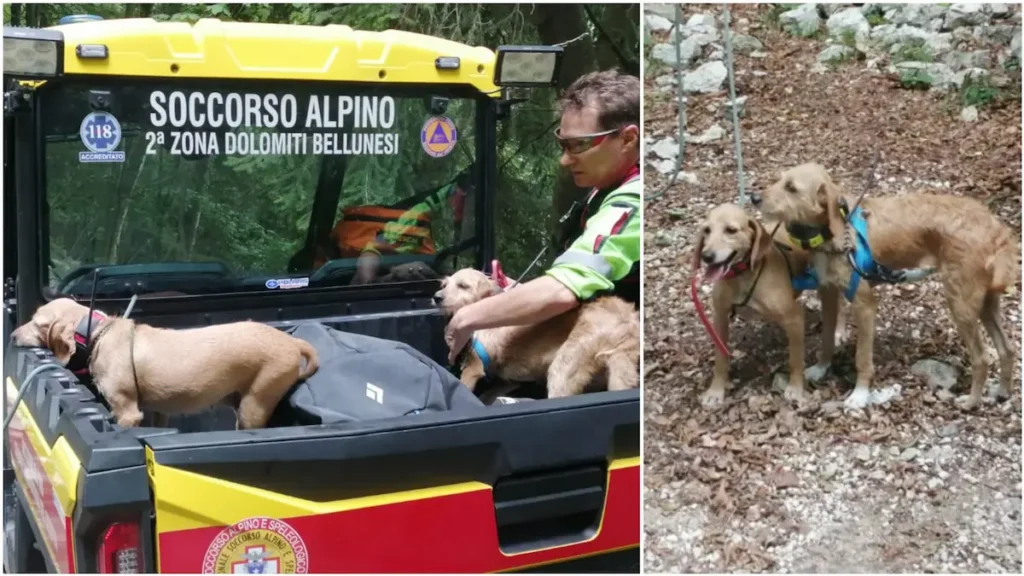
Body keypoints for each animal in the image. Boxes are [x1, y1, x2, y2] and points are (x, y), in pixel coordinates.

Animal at [11, 297, 315, 428]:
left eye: (36, 323)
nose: (12, 335)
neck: (98, 333)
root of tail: (293, 343)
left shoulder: (128, 413)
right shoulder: (158, 411)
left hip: (254, 407)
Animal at [434, 268, 638, 393]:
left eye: (463, 286)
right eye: (444, 285)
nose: (436, 297)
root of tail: (627, 319)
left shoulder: (473, 369)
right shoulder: (506, 381)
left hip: (563, 371)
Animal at [696, 203, 847, 405]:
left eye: (731, 230)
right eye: (706, 230)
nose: (707, 256)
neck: (742, 276)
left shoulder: (794, 318)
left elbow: (795, 360)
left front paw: (795, 388)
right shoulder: (720, 318)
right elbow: (720, 359)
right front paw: (716, 391)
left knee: (841, 304)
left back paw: (839, 331)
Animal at [757, 162, 1019, 407]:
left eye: (791, 188)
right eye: (779, 180)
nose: (754, 197)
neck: (833, 235)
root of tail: (995, 226)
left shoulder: (864, 305)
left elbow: (862, 357)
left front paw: (859, 395)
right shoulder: (829, 293)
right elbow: (827, 338)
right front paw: (822, 368)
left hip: (960, 304)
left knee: (981, 358)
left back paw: (971, 402)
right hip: (985, 302)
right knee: (1006, 349)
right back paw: (1002, 392)